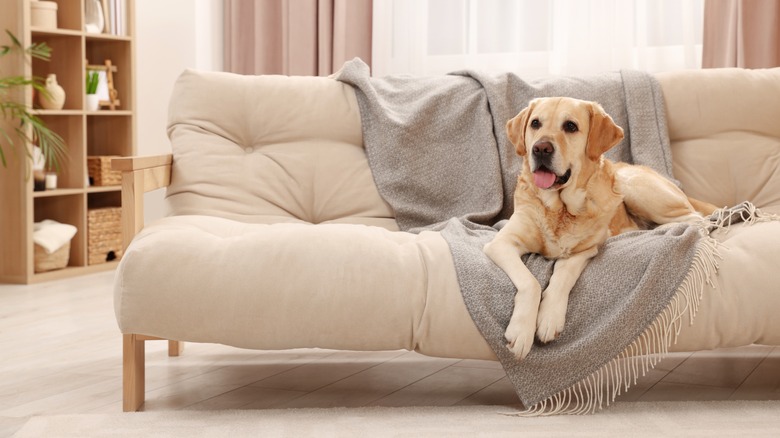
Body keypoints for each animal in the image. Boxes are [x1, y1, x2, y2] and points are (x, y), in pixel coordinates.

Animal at [484, 97, 716, 362]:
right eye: (535, 123)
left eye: (570, 126)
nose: (541, 148)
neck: (559, 209)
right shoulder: (502, 243)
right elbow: (530, 282)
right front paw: (522, 331)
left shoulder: (584, 250)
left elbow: (562, 277)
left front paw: (549, 318)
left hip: (631, 184)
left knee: (697, 219)